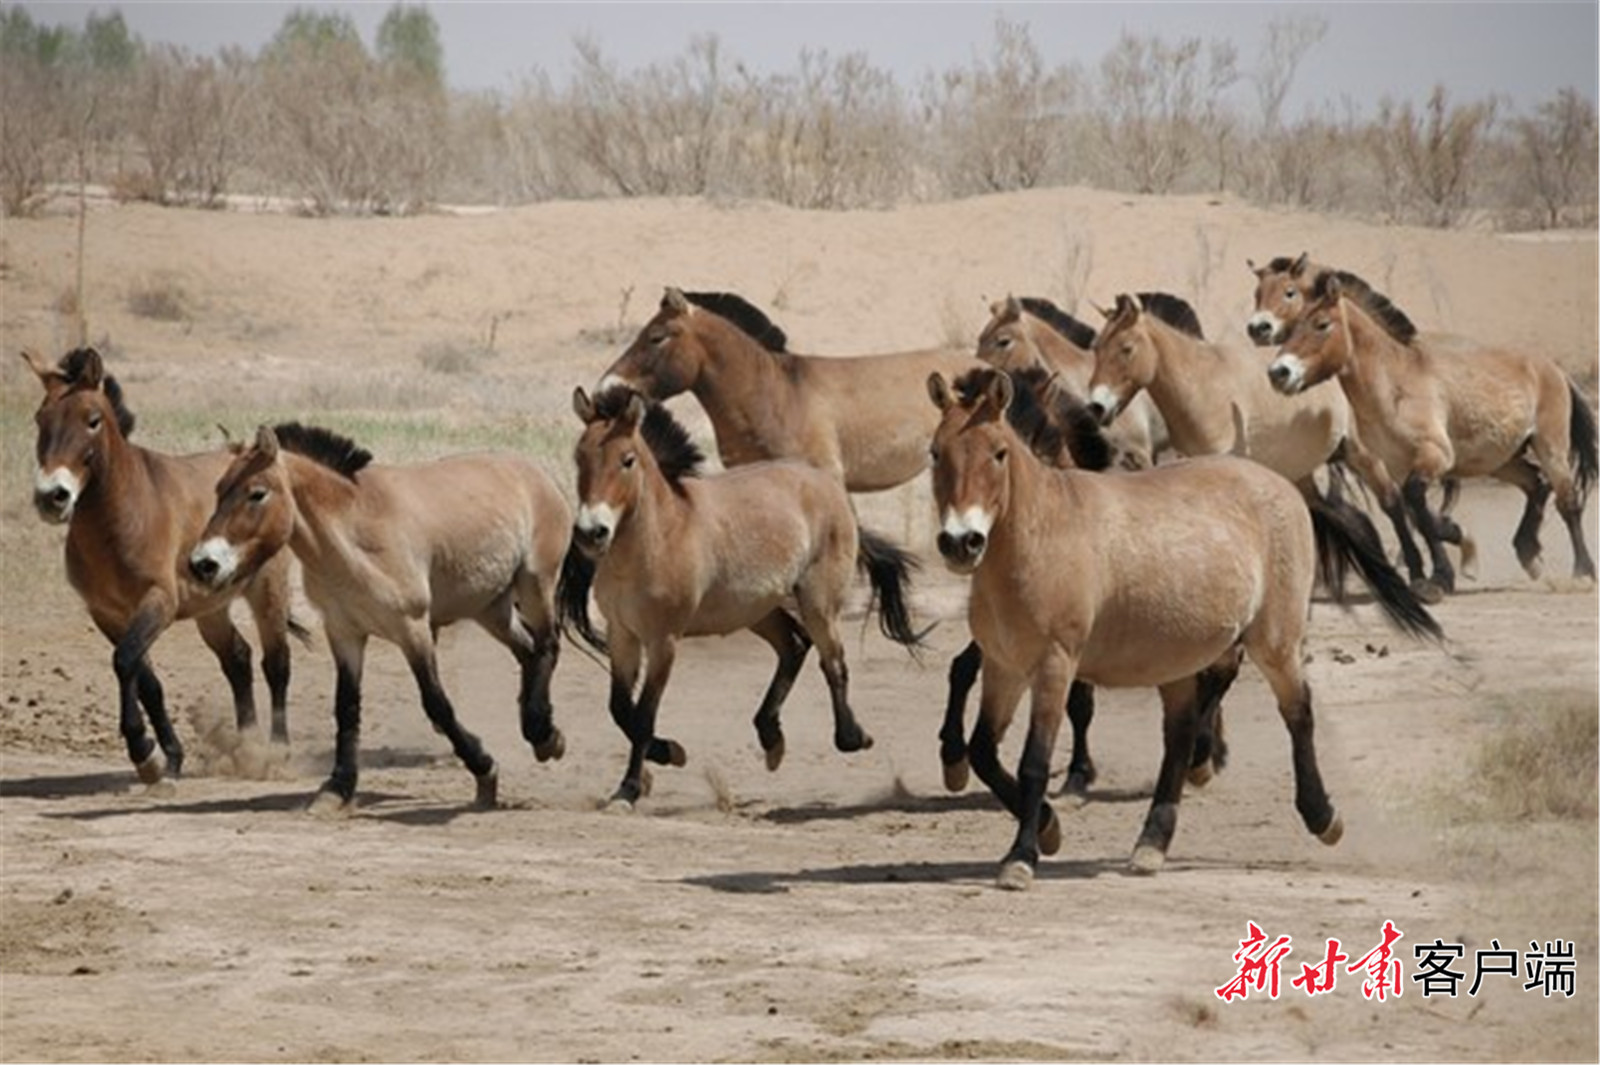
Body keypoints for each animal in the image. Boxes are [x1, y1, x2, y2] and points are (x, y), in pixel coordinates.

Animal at [24, 347, 304, 785]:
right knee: (238, 659)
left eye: (92, 419)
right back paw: (246, 748)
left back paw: (275, 753)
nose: (52, 496)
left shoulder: (158, 602)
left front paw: (143, 751)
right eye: (41, 418)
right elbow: (146, 681)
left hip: (267, 593)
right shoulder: (108, 614)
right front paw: (168, 757)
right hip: (211, 608)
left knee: (276, 665)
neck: (122, 516)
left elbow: (124, 662)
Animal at [188, 422, 578, 810]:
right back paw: (543, 731)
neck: (356, 536)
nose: (203, 564)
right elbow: (346, 707)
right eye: (219, 490)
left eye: (257, 494)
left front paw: (485, 769)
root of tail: (537, 474)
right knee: (528, 651)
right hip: (490, 608)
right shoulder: (344, 632)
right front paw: (338, 788)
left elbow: (437, 704)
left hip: (535, 584)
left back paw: (542, 733)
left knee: (547, 645)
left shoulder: (413, 629)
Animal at [561, 385, 924, 808]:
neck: (659, 537)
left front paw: (631, 787)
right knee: (794, 646)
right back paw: (771, 739)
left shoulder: (663, 641)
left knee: (833, 662)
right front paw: (666, 754)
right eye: (579, 457)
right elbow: (621, 710)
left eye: (627, 461)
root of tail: (828, 486)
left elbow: (644, 715)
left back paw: (852, 737)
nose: (591, 532)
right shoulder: (622, 634)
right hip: (755, 610)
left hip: (817, 603)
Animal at [926, 367, 1443, 890]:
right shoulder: (1004, 665)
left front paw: (1022, 857)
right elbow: (983, 751)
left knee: (1297, 712)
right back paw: (1152, 842)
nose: (961, 542)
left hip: (1274, 642)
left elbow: (1033, 762)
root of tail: (1283, 485)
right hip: (1178, 661)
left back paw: (1322, 817)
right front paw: (1049, 828)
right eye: (935, 452)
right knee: (1180, 735)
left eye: (999, 453)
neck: (1044, 534)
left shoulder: (1056, 664)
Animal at [1268, 271, 1598, 588]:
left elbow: (1416, 502)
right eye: (1290, 328)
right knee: (1536, 483)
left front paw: (1440, 573)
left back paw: (1582, 572)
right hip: (1499, 460)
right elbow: (1409, 511)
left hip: (1551, 447)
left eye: (1322, 324)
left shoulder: (1434, 455)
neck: (1395, 386)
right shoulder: (1394, 465)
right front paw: (1434, 567)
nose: (1278, 373)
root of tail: (1553, 369)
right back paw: (1529, 553)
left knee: (1567, 501)